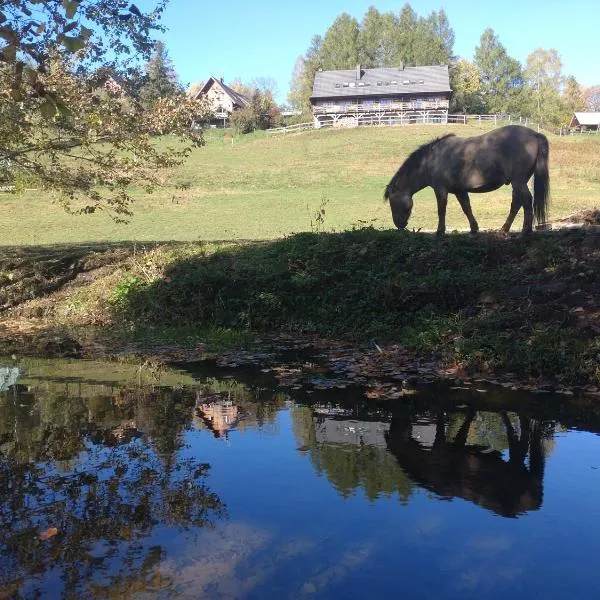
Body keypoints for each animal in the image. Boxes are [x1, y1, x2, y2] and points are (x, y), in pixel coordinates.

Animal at [386, 125, 552, 236]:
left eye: (392, 203)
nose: (399, 225)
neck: (431, 159)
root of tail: (534, 134)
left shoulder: (441, 190)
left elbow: (441, 210)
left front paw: (440, 231)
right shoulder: (459, 191)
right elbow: (467, 208)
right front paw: (474, 228)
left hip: (518, 181)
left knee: (526, 201)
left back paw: (525, 231)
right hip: (518, 183)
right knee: (516, 204)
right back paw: (504, 229)